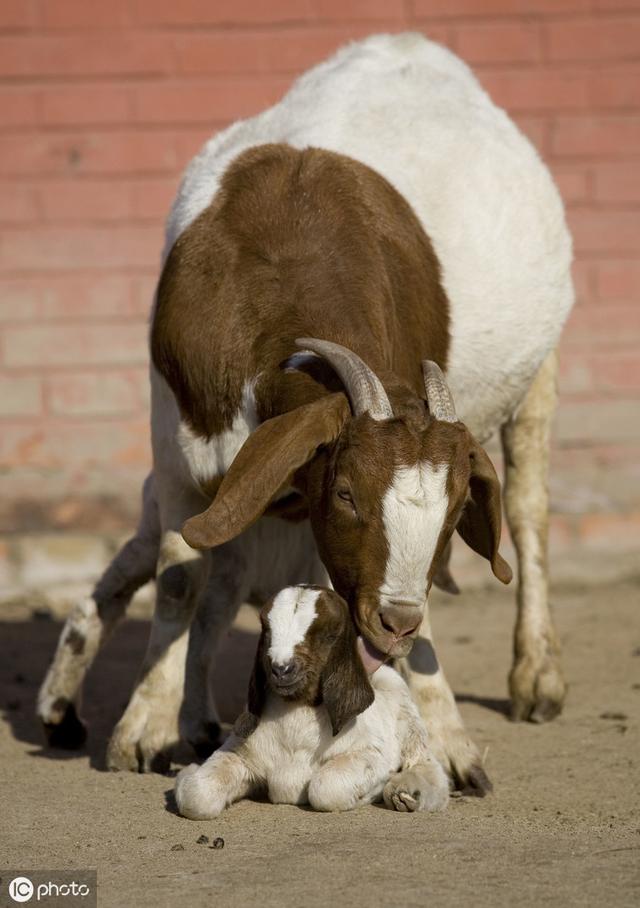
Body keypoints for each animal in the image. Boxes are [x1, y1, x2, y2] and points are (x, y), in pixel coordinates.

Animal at [172, 584, 448, 820]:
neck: (298, 710)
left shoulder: (373, 753)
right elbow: (197, 795)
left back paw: (407, 792)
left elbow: (326, 788)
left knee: (427, 764)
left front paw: (376, 791)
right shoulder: (240, 751)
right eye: (267, 631)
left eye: (327, 635)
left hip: (405, 712)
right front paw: (186, 773)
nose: (281, 669)